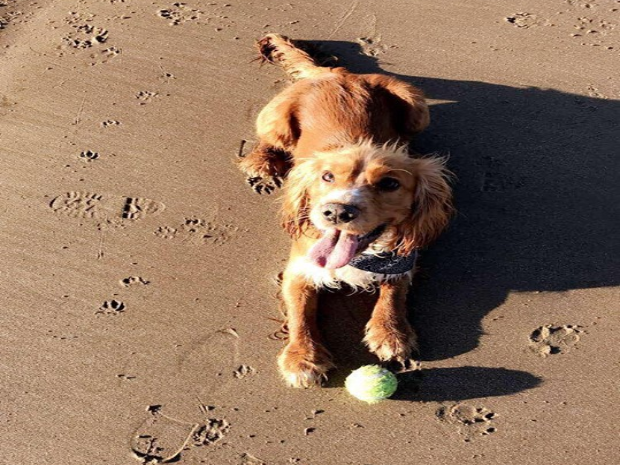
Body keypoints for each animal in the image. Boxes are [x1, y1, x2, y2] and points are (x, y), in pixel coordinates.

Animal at [240, 33, 452, 388]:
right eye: (327, 177)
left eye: (390, 184)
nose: (336, 212)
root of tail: (335, 72)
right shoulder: (299, 269)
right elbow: (300, 316)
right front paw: (302, 359)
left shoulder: (402, 261)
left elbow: (394, 292)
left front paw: (391, 333)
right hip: (275, 119)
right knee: (268, 139)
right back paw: (262, 161)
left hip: (417, 107)